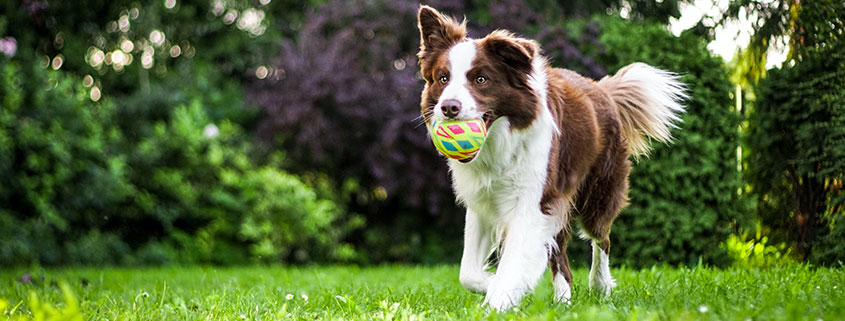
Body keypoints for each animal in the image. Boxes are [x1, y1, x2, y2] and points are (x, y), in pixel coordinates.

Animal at [416, 5, 684, 310]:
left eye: (481, 79)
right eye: (443, 79)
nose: (449, 107)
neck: (499, 143)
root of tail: (602, 89)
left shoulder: (534, 201)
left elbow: (513, 261)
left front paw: (498, 301)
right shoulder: (483, 201)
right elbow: (468, 273)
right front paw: (495, 285)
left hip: (598, 192)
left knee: (601, 238)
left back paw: (600, 286)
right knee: (561, 256)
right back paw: (563, 301)